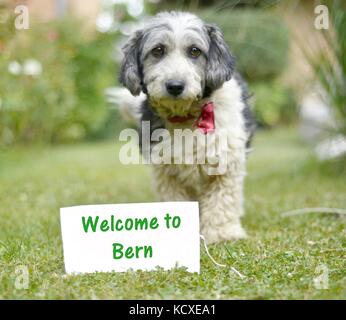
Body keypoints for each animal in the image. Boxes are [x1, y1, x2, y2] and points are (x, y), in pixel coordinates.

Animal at [117, 11, 255, 244]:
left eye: (194, 51)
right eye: (158, 50)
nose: (175, 86)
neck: (186, 117)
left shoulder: (225, 164)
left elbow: (222, 200)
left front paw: (221, 233)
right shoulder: (166, 171)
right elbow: (175, 200)